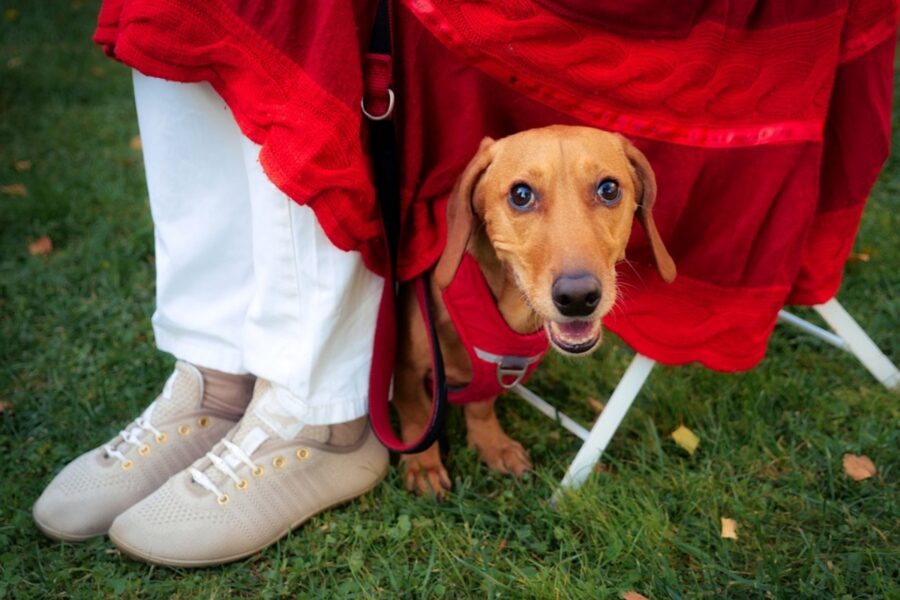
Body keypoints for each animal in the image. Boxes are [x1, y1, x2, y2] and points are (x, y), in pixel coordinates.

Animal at [394, 125, 676, 496]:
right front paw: (424, 466)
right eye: (521, 194)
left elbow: (481, 406)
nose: (577, 296)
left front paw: (492, 444)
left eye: (609, 189)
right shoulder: (405, 369)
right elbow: (416, 416)